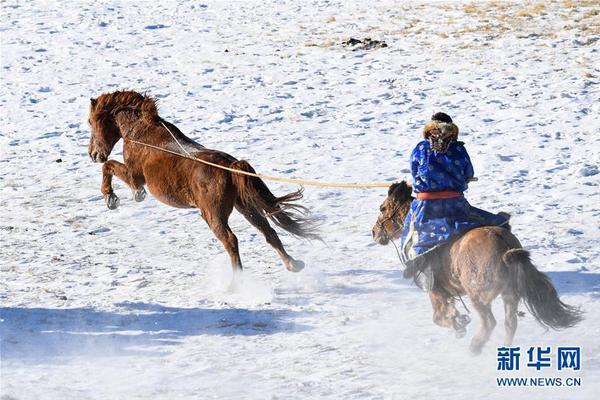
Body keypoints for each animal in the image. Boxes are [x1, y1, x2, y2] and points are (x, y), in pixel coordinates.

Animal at [87, 89, 318, 274]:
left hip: (212, 215)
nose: (93, 154)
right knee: (268, 231)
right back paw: (293, 264)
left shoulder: (134, 175)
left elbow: (109, 167)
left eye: (91, 122)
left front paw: (113, 197)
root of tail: (231, 167)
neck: (140, 133)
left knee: (231, 240)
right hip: (246, 207)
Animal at [370, 181, 580, 354]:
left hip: (478, 296)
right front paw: (458, 320)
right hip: (510, 295)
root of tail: (506, 248)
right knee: (510, 323)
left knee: (490, 322)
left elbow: (438, 317)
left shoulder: (436, 291)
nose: (374, 232)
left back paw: (475, 346)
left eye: (382, 208)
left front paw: (458, 324)